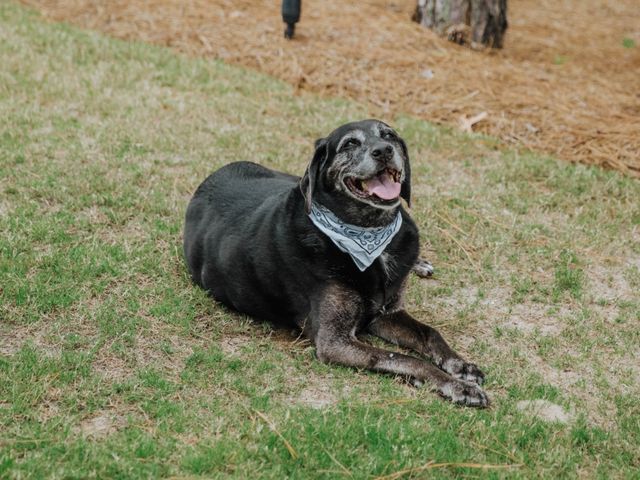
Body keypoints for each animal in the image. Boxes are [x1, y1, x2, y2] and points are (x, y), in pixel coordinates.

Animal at [182, 119, 488, 404]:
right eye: (350, 143)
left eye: (389, 135)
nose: (384, 150)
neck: (370, 235)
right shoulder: (334, 341)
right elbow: (403, 358)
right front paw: (456, 386)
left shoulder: (387, 313)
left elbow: (430, 333)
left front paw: (461, 365)